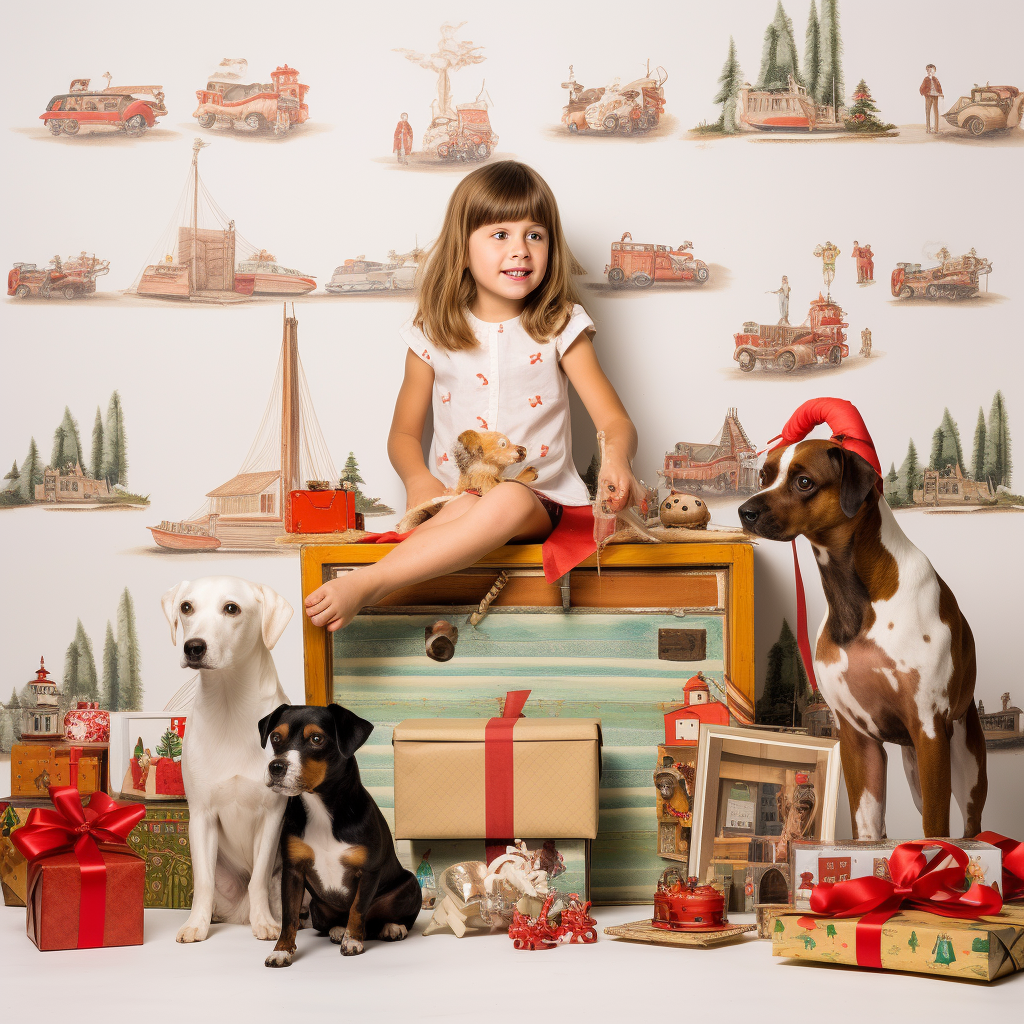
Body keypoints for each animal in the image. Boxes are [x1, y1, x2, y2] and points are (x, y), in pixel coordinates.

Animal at [159, 577, 294, 942]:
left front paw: (265, 923)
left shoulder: (272, 816)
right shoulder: (202, 816)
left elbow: (258, 878)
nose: (193, 647)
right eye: (186, 607)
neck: (230, 702)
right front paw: (196, 925)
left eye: (231, 608)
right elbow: (204, 882)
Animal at [260, 704, 419, 966]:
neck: (322, 811)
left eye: (316, 739)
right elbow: (289, 916)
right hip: (317, 907)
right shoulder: (293, 870)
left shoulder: (368, 871)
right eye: (275, 737)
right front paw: (281, 950)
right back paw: (337, 929)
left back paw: (392, 927)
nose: (276, 766)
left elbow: (357, 908)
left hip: (410, 886)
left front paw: (352, 941)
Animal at [741, 440, 987, 839]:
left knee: (970, 827)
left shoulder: (930, 731)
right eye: (765, 476)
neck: (856, 601)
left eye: (804, 481)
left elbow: (936, 830)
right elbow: (867, 830)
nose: (744, 511)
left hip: (963, 767)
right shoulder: (857, 741)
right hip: (914, 768)